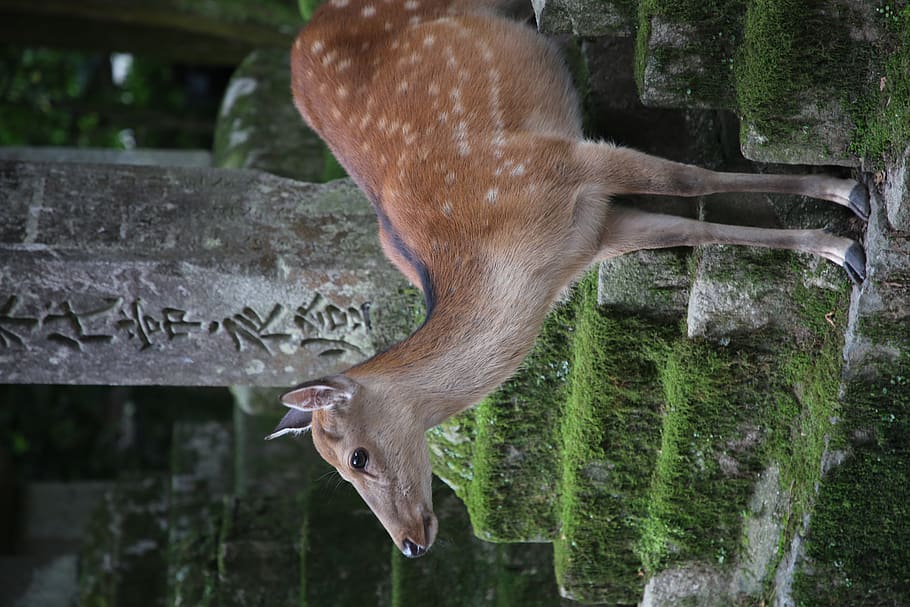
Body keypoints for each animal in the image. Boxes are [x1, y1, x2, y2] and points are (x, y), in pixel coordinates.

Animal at [266, 0, 869, 558]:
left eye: (356, 457)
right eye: (340, 473)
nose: (410, 544)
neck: (523, 266)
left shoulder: (561, 160)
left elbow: (689, 178)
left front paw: (847, 195)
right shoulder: (596, 233)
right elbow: (691, 228)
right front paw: (843, 246)